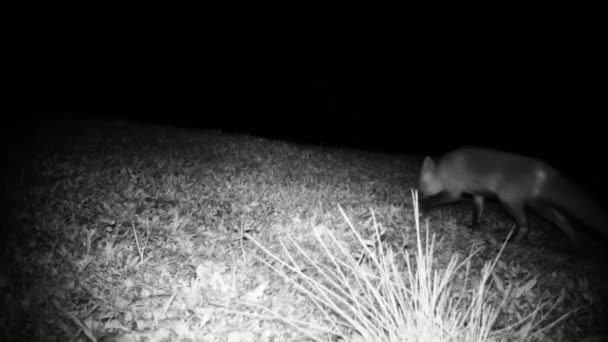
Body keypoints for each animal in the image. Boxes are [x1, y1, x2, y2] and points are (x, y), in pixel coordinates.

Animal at [416, 146, 608, 250]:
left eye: (422, 185)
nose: (420, 192)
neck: (445, 170)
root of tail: (543, 169)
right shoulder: (478, 195)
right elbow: (477, 213)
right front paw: (474, 227)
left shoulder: (454, 191)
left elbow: (436, 200)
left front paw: (421, 207)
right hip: (536, 204)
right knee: (561, 219)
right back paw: (575, 246)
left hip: (509, 201)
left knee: (525, 225)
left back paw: (511, 242)